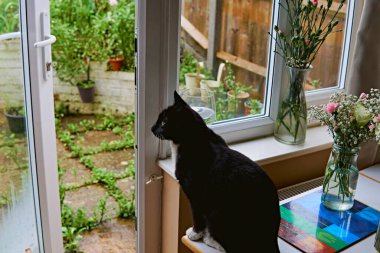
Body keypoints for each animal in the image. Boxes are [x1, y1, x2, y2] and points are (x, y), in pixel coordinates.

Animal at [151, 91, 280, 253]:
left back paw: (211, 240)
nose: (152, 128)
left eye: (163, 123)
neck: (198, 138)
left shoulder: (196, 196)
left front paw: (195, 234)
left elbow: (197, 217)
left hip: (219, 213)